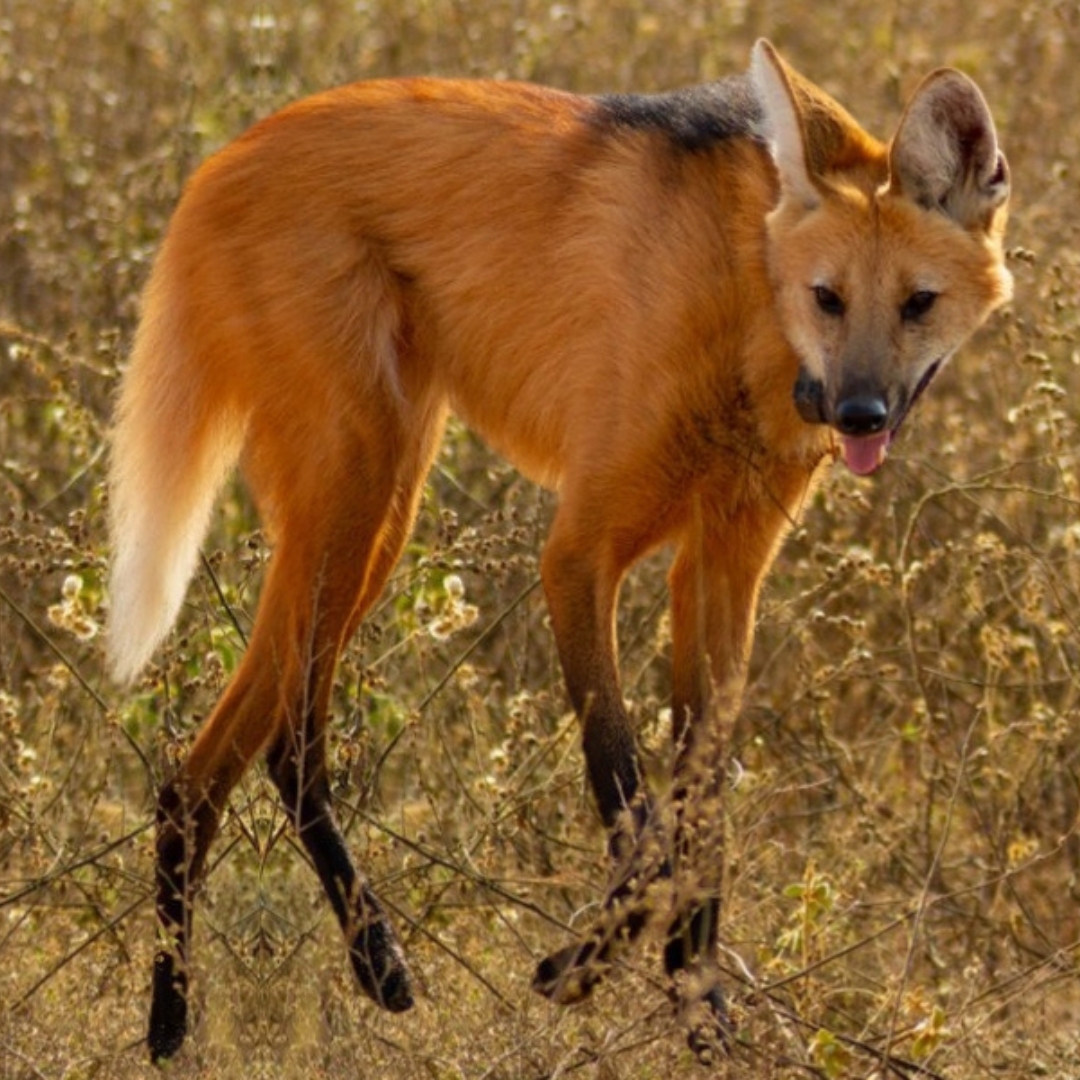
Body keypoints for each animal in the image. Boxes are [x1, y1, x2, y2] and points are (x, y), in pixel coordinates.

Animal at [105, 35, 1006, 1062]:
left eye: (917, 304)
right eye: (827, 299)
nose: (858, 412)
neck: (744, 307)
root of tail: (219, 160)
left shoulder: (722, 567)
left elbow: (701, 812)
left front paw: (699, 1009)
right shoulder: (578, 553)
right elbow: (641, 817)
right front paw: (578, 971)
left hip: (379, 515)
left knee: (195, 778)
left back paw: (172, 1019)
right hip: (359, 495)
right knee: (291, 745)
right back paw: (379, 964)